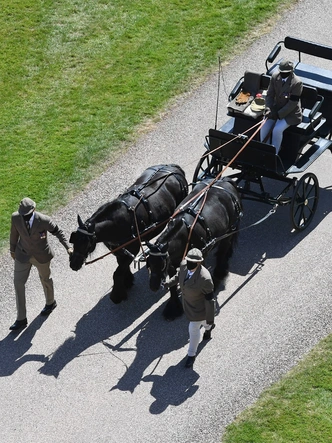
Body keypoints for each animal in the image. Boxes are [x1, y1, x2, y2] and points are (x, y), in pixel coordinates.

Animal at [68, 165, 188, 306]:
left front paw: (117, 295)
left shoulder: (133, 248)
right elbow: (121, 265)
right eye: (74, 240)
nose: (73, 264)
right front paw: (127, 281)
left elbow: (117, 272)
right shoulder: (118, 249)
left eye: (86, 242)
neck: (116, 223)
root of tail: (173, 168)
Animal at [147, 176, 243, 320]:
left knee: (224, 249)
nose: (153, 286)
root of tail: (226, 180)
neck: (184, 233)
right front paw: (173, 307)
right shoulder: (172, 264)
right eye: (149, 264)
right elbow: (173, 285)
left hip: (229, 229)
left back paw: (219, 273)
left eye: (161, 265)